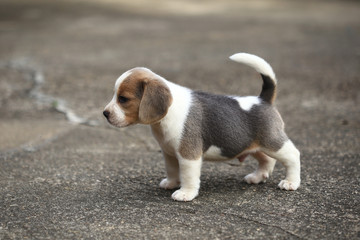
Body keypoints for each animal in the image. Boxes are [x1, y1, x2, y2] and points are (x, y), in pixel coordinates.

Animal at [104, 53, 300, 202]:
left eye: (123, 99)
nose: (105, 113)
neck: (166, 116)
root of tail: (263, 100)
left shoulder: (188, 155)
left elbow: (188, 176)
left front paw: (185, 193)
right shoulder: (169, 153)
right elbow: (172, 170)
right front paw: (171, 183)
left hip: (273, 142)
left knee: (293, 156)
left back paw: (291, 182)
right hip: (252, 145)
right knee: (267, 160)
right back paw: (258, 177)